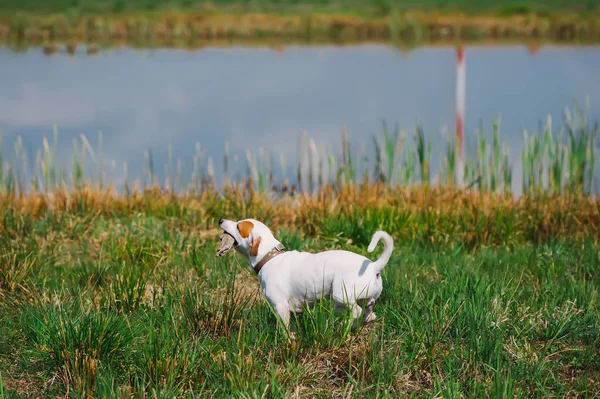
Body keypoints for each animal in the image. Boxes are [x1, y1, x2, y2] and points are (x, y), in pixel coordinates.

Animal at [219, 219, 394, 332]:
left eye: (238, 226)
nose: (221, 220)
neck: (270, 257)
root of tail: (374, 266)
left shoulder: (280, 307)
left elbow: (283, 329)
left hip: (340, 296)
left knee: (356, 312)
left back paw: (343, 325)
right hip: (361, 302)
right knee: (369, 316)